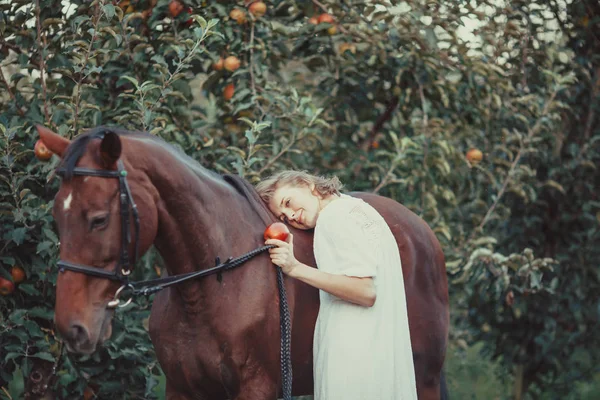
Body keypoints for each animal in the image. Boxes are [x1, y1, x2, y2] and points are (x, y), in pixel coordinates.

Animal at [37, 126, 448, 400]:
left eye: (98, 219)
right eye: (57, 216)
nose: (72, 327)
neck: (211, 284)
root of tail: (422, 232)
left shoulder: (256, 388)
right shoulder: (183, 388)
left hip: (423, 379)